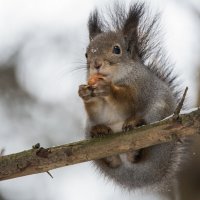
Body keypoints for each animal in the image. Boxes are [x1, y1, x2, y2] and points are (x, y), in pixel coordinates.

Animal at [78, 2, 186, 191]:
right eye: (86, 54)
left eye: (117, 49)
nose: (96, 64)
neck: (117, 78)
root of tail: (141, 178)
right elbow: (97, 111)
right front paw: (85, 94)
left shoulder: (140, 88)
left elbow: (128, 103)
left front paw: (108, 89)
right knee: (113, 161)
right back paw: (102, 137)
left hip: (159, 119)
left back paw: (134, 136)